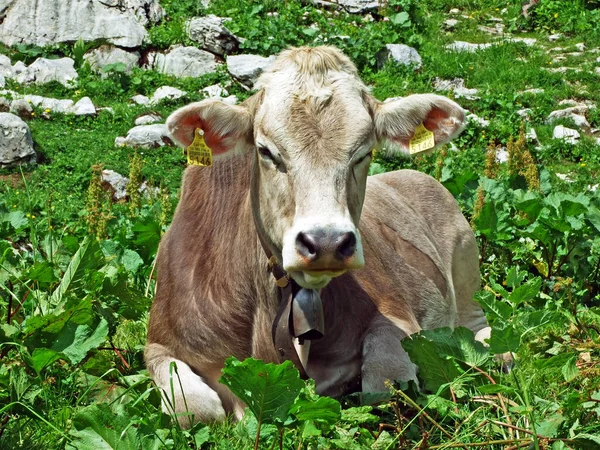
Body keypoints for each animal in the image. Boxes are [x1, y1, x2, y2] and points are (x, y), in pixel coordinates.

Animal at [146, 46, 492, 428]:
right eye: (266, 151)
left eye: (364, 152)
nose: (326, 243)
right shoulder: (160, 343)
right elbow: (194, 408)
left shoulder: (396, 315)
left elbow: (385, 383)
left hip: (466, 267)